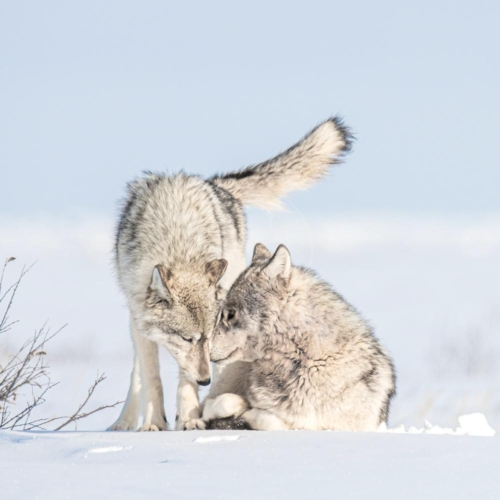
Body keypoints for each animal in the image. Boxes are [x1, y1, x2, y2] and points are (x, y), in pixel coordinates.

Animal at [108, 116, 354, 430]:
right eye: (187, 338)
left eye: (207, 335)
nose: (205, 379)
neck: (178, 245)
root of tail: (215, 185)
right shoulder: (142, 321)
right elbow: (151, 376)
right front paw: (154, 423)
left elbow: (185, 378)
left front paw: (189, 418)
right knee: (137, 372)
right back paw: (124, 421)